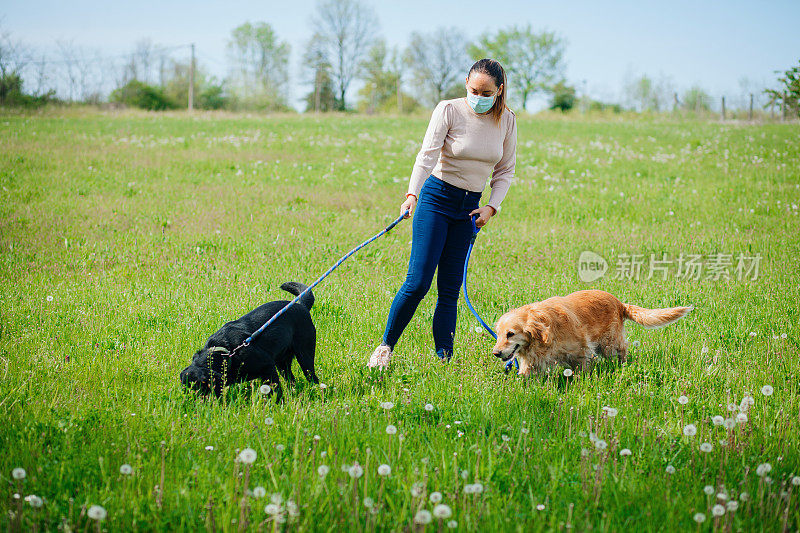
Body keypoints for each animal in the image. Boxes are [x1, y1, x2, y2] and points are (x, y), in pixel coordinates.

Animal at [181, 282, 318, 400]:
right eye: (186, 390)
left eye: (199, 389)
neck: (228, 352)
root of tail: (302, 306)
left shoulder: (268, 366)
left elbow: (275, 390)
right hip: (282, 363)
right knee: (291, 379)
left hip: (305, 356)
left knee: (312, 376)